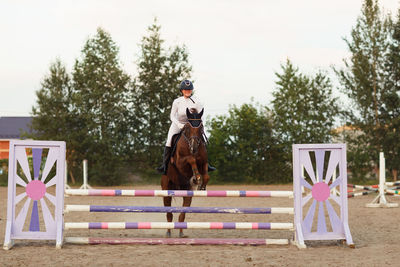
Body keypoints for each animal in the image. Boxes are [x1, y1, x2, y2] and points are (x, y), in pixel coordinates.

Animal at [160, 108, 211, 238]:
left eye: (201, 126)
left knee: (182, 214)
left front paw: (200, 184)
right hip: (166, 191)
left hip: (187, 193)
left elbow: (206, 175)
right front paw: (196, 177)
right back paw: (168, 232)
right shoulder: (180, 162)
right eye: (187, 127)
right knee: (169, 213)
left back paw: (181, 233)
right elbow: (191, 159)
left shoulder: (204, 162)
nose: (194, 147)